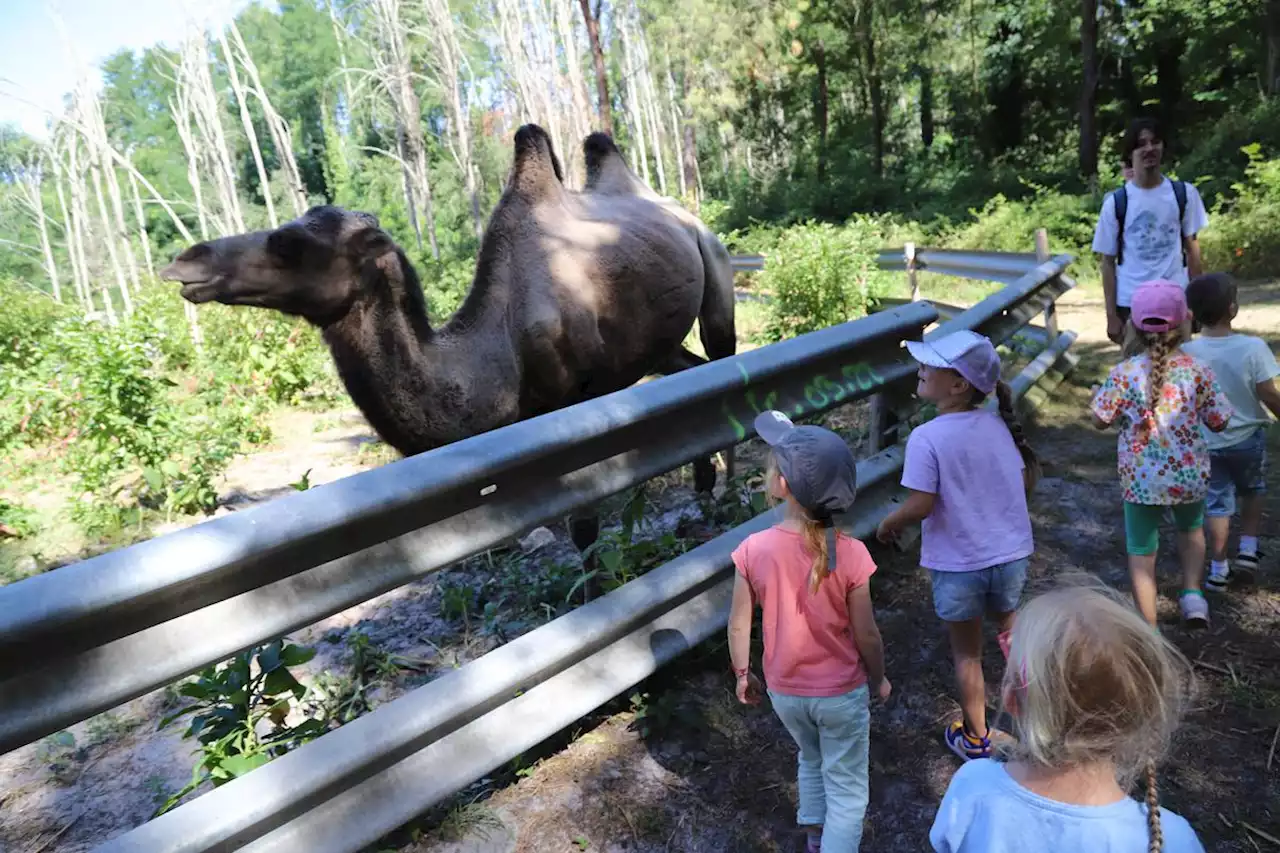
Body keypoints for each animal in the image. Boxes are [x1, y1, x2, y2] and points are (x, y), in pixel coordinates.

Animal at [162, 126, 742, 550]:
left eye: (288, 243)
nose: (185, 262)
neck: (502, 350)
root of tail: (677, 210)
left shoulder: (579, 407)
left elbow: (583, 530)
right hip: (654, 346)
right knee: (693, 375)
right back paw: (703, 493)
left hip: (714, 265)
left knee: (723, 362)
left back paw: (731, 497)